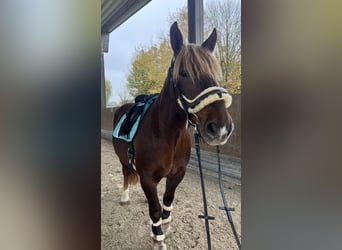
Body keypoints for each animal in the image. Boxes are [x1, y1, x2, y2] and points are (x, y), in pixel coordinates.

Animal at [112, 22, 232, 249]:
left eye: (214, 74)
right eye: (184, 73)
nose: (220, 128)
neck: (166, 135)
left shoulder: (177, 174)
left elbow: (166, 202)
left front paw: (164, 226)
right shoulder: (147, 178)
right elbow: (155, 209)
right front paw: (158, 238)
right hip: (123, 160)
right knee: (125, 173)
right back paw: (124, 197)